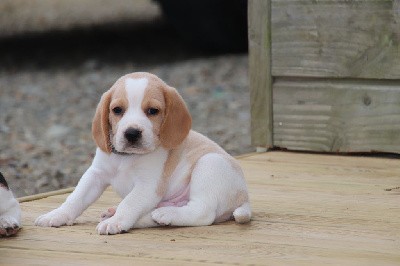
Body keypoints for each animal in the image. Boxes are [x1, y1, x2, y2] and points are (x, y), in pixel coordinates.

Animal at [36, 71, 250, 234]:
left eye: (153, 111)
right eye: (117, 110)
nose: (131, 133)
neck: (125, 159)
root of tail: (245, 198)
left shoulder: (148, 185)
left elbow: (130, 203)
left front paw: (116, 222)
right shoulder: (95, 175)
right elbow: (75, 198)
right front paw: (57, 215)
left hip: (210, 163)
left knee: (202, 212)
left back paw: (164, 215)